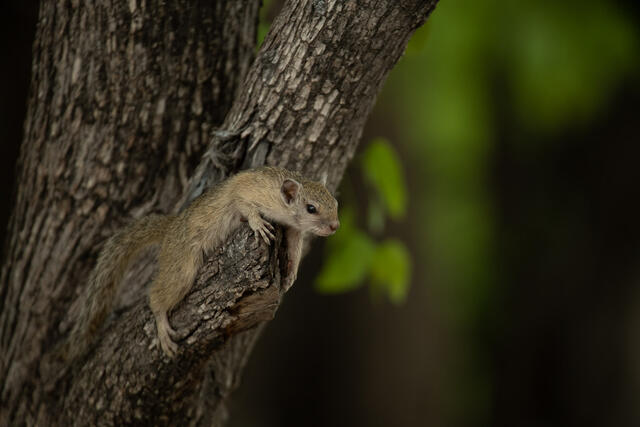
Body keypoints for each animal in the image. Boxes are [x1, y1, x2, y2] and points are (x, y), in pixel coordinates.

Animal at [62, 166, 339, 359]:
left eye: (335, 202)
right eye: (311, 208)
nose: (335, 226)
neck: (281, 202)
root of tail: (171, 230)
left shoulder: (292, 229)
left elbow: (294, 248)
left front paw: (291, 273)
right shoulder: (247, 190)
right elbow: (243, 204)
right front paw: (256, 222)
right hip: (182, 267)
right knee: (156, 296)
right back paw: (162, 326)